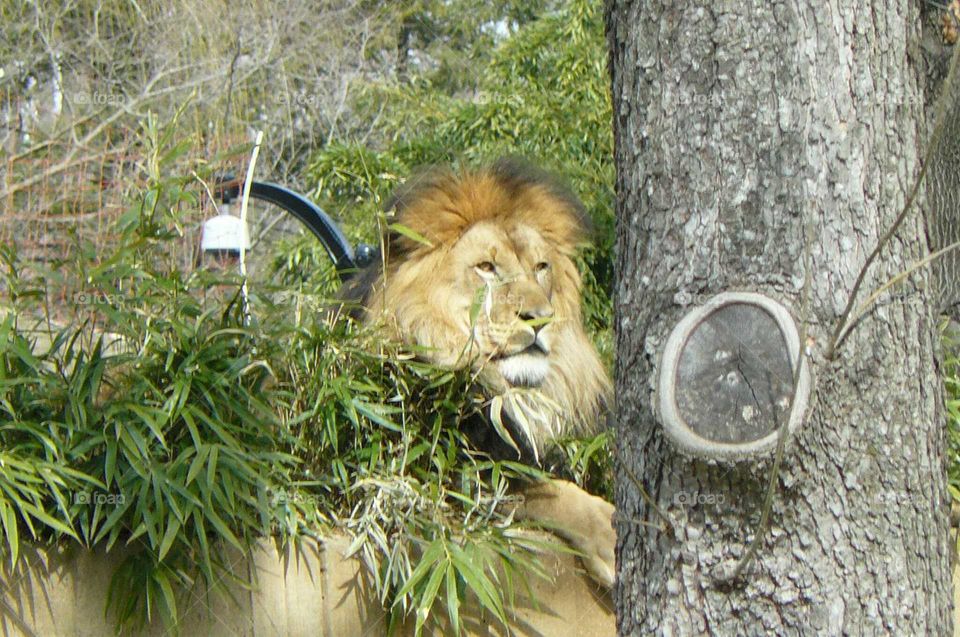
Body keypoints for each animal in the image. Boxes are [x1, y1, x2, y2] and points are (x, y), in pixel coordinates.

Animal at [344, 158, 616, 588]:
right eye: (486, 268)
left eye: (541, 267)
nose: (541, 319)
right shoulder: (440, 471)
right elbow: (546, 492)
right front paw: (610, 534)